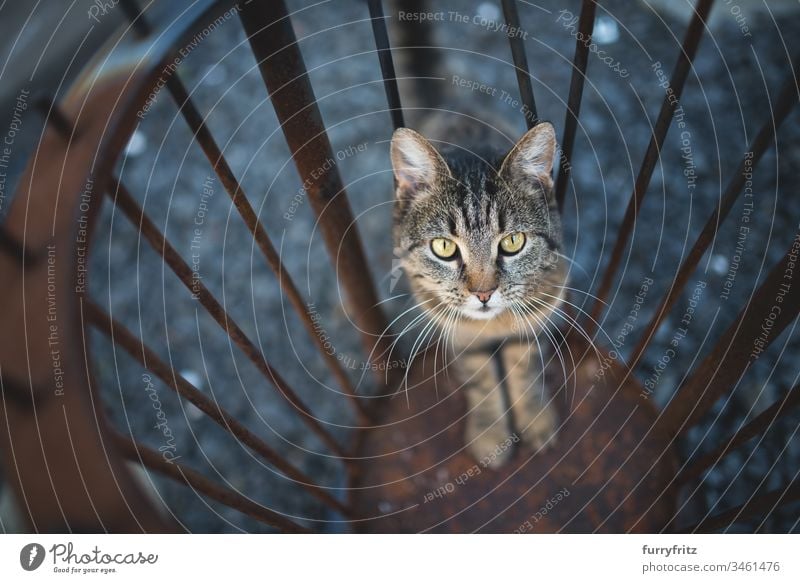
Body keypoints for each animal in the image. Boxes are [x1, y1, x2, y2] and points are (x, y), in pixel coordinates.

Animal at [390, 115, 568, 470]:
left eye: (513, 242)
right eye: (443, 247)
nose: (484, 293)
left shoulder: (536, 316)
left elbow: (526, 370)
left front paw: (535, 418)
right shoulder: (458, 333)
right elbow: (481, 380)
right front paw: (490, 433)